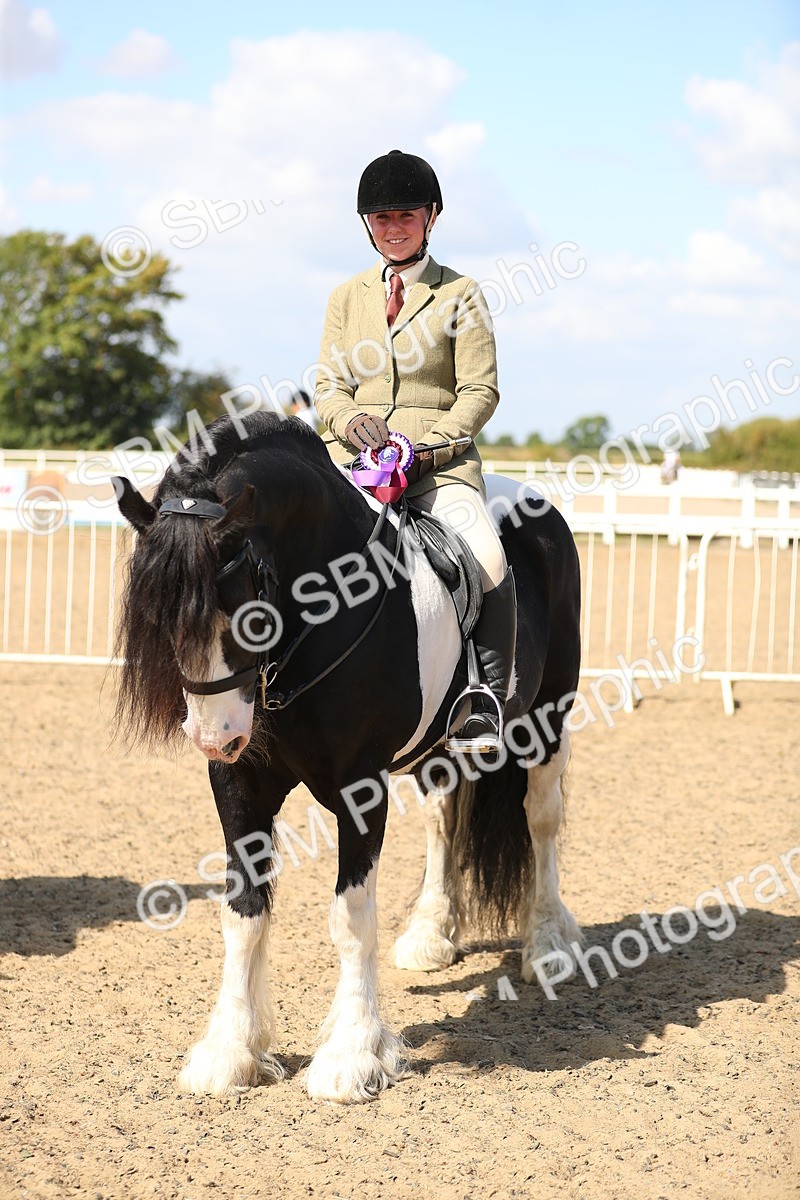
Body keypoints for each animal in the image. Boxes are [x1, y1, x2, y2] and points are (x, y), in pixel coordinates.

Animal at [114, 410, 583, 1104]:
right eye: (160, 614)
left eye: (246, 608)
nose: (214, 737)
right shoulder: (239, 785)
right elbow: (243, 913)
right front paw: (230, 1051)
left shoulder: (362, 788)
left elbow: (351, 916)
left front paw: (352, 1055)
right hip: (439, 752)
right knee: (444, 823)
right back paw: (430, 935)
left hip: (548, 718)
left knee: (541, 819)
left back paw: (549, 946)